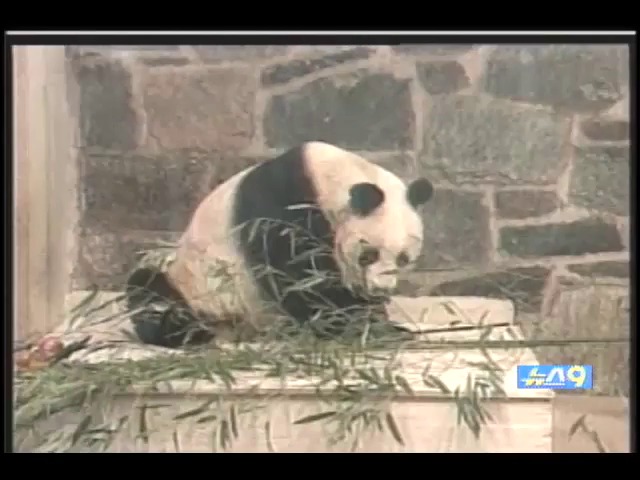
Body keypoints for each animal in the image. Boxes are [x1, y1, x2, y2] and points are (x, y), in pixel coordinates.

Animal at [124, 141, 436, 346]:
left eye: (404, 259)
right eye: (368, 255)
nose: (381, 291)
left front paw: (377, 320)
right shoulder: (280, 208)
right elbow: (299, 278)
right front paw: (356, 326)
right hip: (193, 286)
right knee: (150, 292)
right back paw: (188, 331)